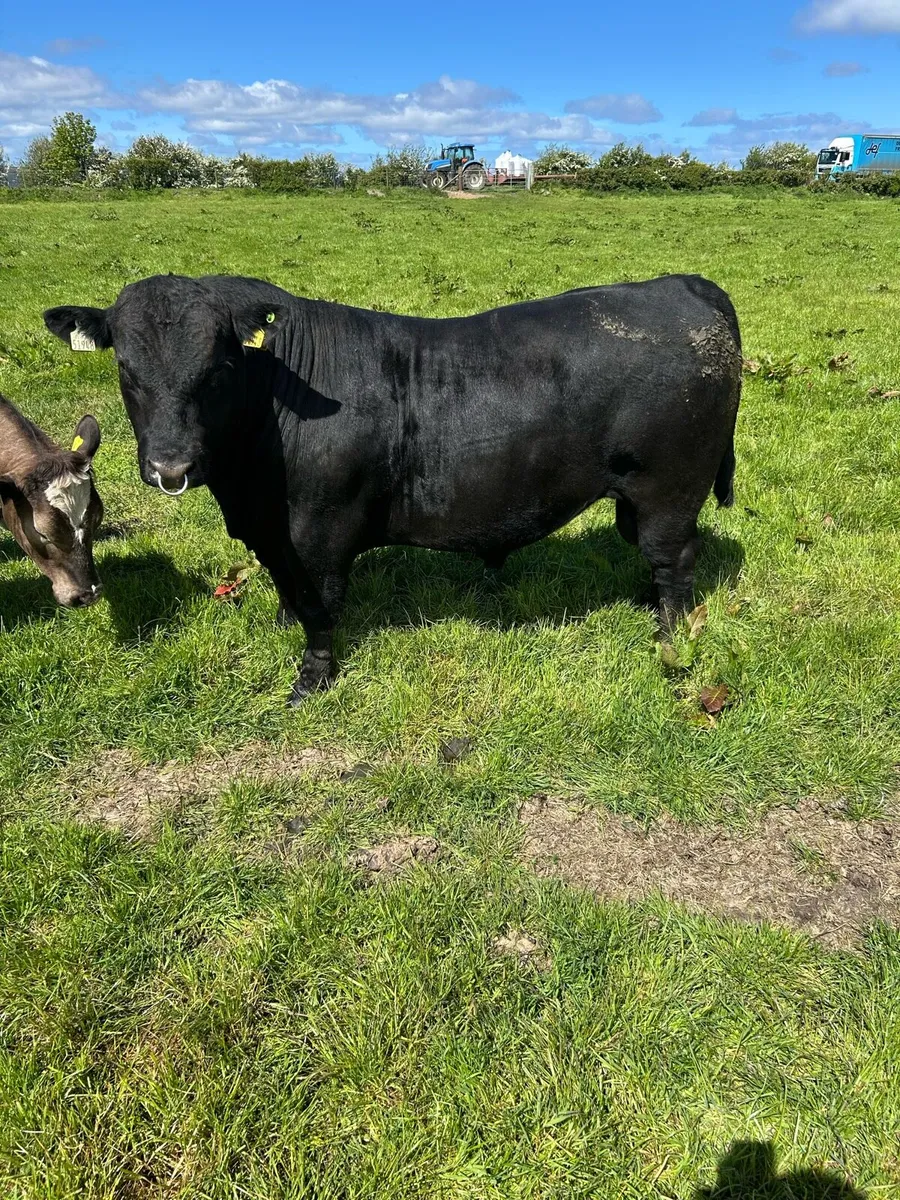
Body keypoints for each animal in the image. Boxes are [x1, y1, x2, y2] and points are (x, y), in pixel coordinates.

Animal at [44, 272, 741, 703]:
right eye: (126, 367)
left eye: (217, 367)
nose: (171, 467)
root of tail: (683, 285)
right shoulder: (272, 533)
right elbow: (288, 593)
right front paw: (281, 623)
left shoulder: (320, 533)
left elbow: (320, 608)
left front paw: (310, 681)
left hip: (668, 489)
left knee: (675, 556)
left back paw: (669, 637)